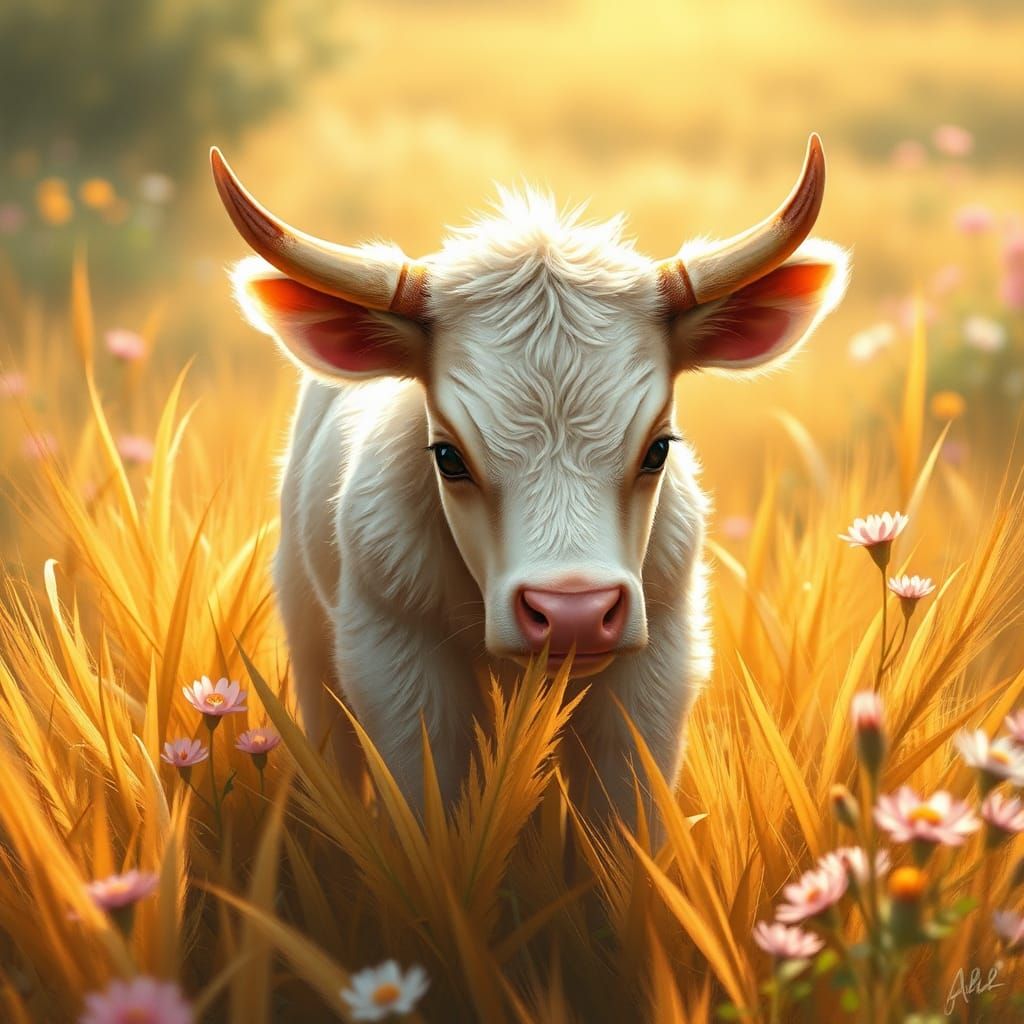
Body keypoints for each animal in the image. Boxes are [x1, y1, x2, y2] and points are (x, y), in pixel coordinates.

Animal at [212, 135, 848, 830]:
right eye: (448, 456)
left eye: (658, 449)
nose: (574, 614)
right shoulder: (395, 661)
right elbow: (429, 808)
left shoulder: (657, 664)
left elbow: (625, 814)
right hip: (307, 629)